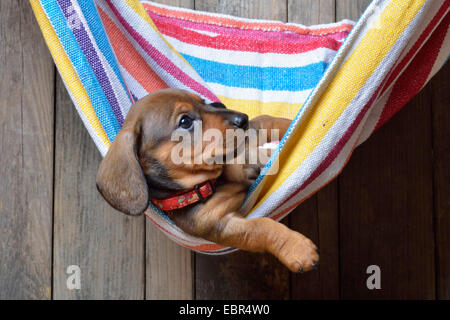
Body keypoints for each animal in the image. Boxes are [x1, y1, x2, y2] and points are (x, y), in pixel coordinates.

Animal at [96, 88, 318, 272]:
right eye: (185, 121)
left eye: (204, 102)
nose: (242, 119)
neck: (212, 182)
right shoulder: (221, 225)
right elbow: (260, 227)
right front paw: (297, 248)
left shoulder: (256, 131)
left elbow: (273, 122)